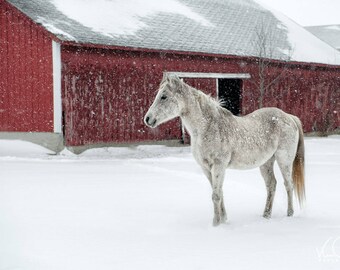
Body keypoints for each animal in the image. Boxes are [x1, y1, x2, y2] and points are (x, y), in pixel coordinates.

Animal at [143, 73, 306, 226]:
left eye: (164, 96)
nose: (147, 119)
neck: (207, 127)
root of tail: (289, 117)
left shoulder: (218, 166)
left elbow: (216, 195)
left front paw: (216, 224)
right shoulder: (206, 168)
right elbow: (218, 193)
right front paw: (223, 220)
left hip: (284, 160)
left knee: (288, 185)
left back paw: (289, 214)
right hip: (266, 163)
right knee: (271, 185)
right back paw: (266, 215)